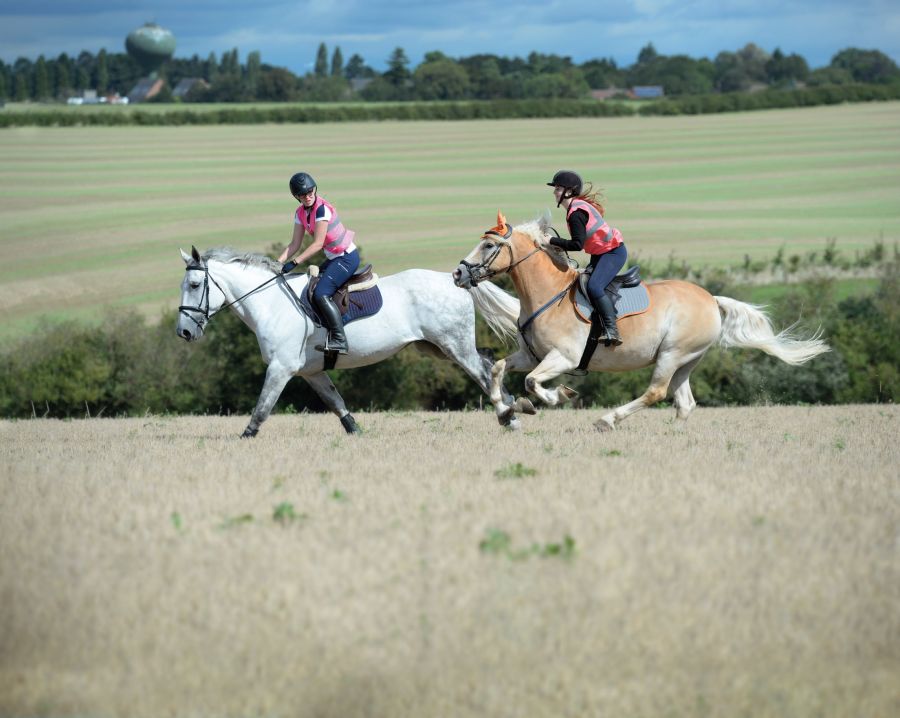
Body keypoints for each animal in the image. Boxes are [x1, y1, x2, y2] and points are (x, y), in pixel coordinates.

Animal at [175, 248, 520, 438]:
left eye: (194, 284)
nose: (184, 333)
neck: (270, 302)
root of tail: (453, 280)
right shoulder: (311, 372)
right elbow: (335, 401)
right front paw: (355, 432)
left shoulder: (280, 368)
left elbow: (263, 406)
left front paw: (246, 436)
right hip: (437, 348)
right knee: (488, 360)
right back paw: (512, 407)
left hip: (454, 345)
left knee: (482, 371)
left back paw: (508, 416)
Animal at [458, 214, 828, 434]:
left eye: (489, 245)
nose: (459, 273)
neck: (548, 295)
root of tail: (711, 299)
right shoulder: (531, 355)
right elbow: (498, 369)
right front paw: (505, 412)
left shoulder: (562, 358)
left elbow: (533, 383)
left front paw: (555, 397)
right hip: (686, 360)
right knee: (684, 402)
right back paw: (673, 435)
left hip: (671, 355)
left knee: (656, 392)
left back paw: (607, 420)